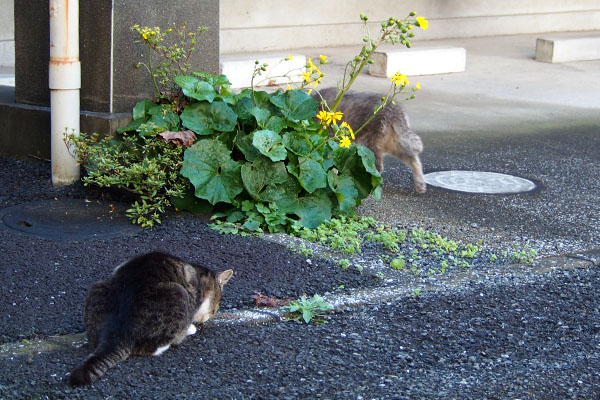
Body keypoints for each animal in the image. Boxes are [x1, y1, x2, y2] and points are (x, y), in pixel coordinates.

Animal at [68, 252, 232, 386]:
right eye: (217, 305)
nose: (212, 314)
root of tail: (117, 333)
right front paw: (191, 327)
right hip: (178, 293)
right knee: (152, 347)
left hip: (97, 287)